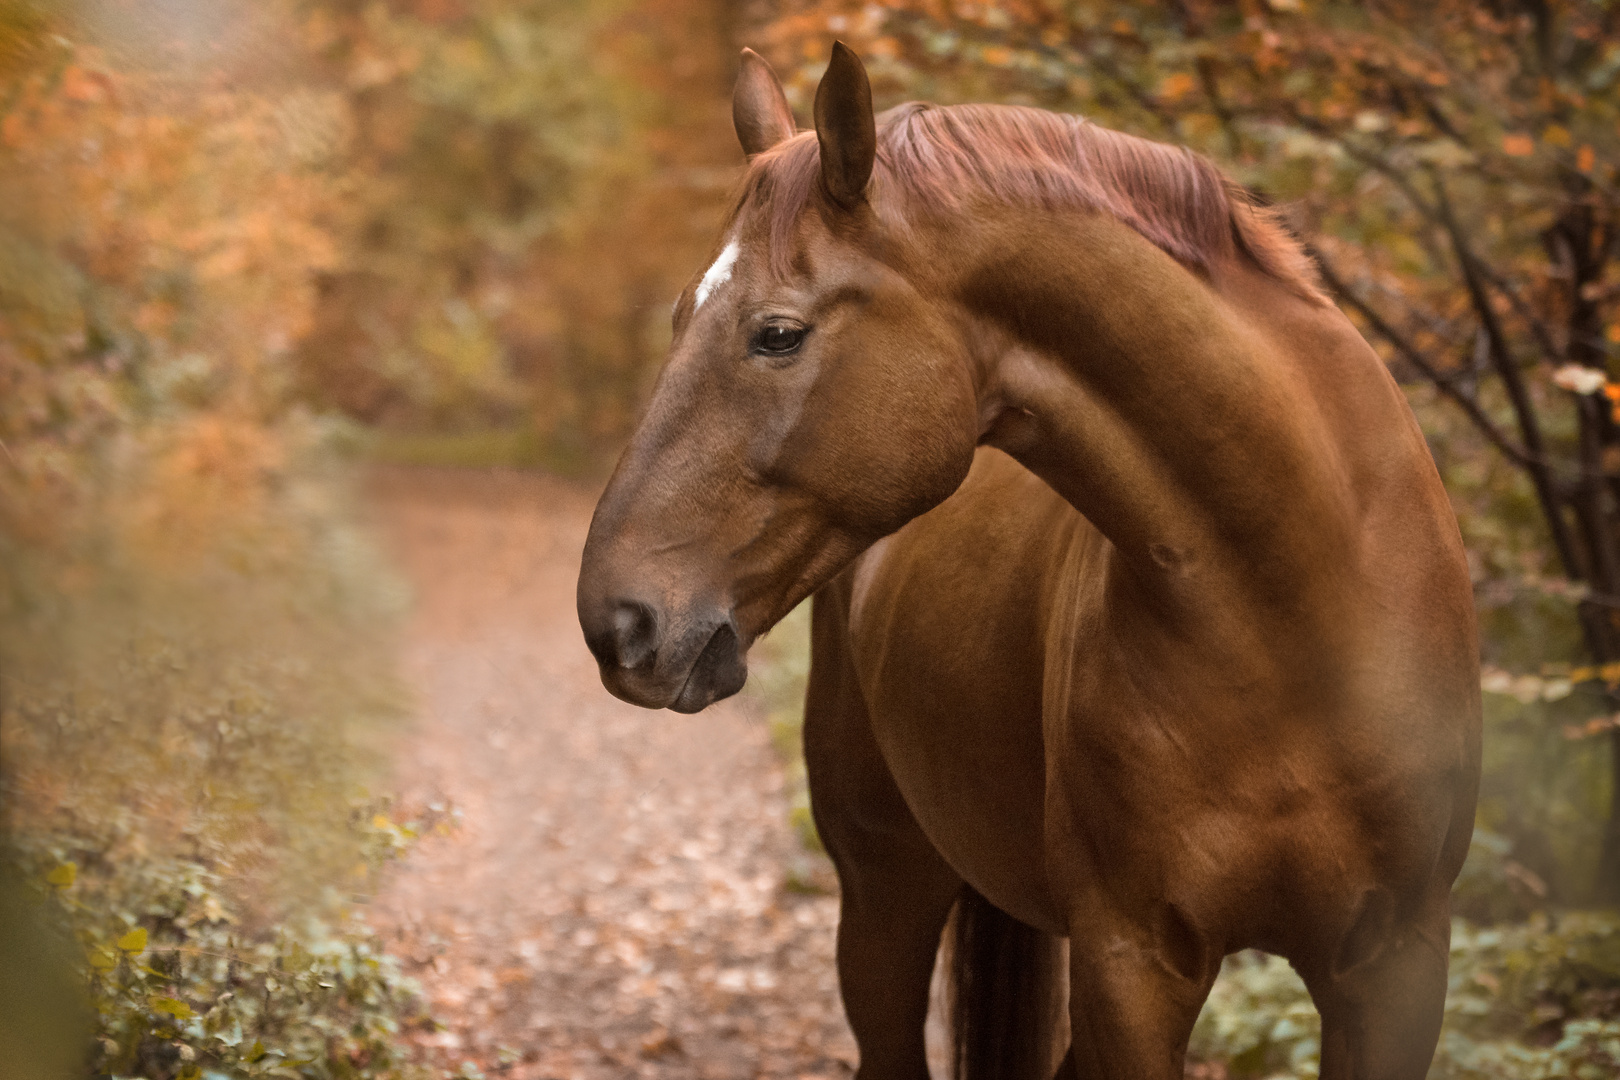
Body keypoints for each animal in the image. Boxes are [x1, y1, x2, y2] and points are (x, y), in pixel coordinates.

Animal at [579, 42, 1483, 1080]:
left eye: (777, 333)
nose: (616, 620)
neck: (1299, 610)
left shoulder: (1396, 967)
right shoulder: (1131, 966)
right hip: (885, 887)